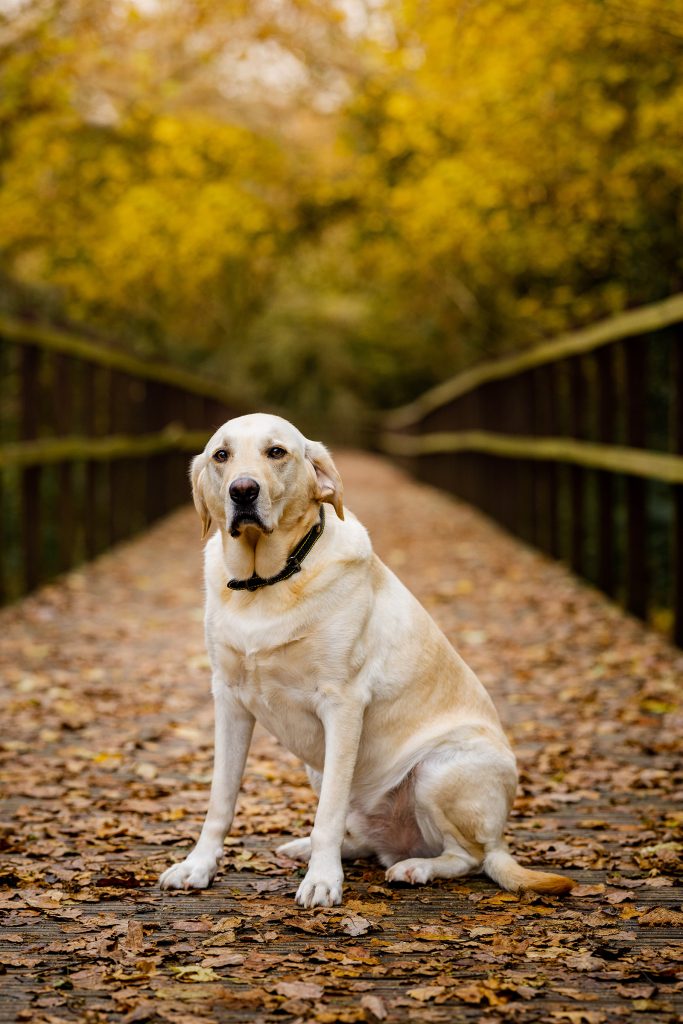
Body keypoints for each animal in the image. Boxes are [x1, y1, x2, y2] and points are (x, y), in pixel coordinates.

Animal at [157, 411, 573, 909]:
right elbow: (220, 800)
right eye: (221, 455)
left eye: (276, 452)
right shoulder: (230, 700)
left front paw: (322, 881)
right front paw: (198, 866)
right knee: (365, 839)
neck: (266, 583)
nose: (242, 490)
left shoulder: (342, 704)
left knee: (469, 858)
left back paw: (415, 868)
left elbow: (329, 815)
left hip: (438, 770)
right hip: (319, 767)